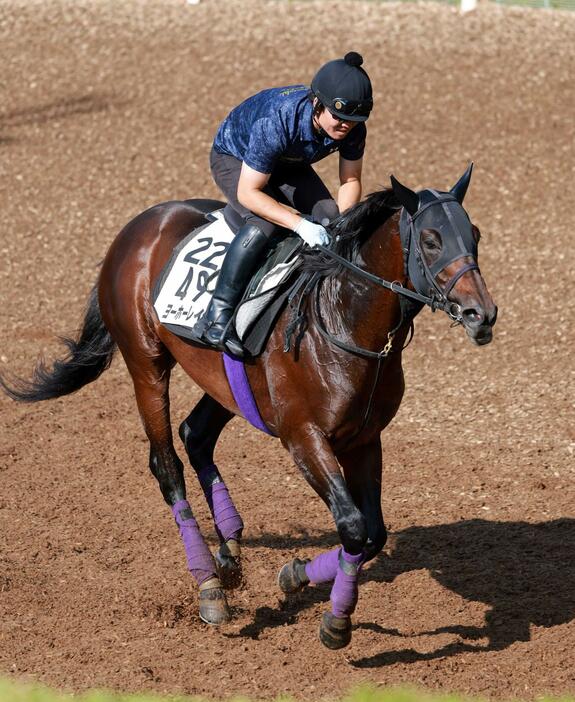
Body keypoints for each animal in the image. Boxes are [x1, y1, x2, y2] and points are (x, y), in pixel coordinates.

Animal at [0, 165, 498, 648]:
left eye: (474, 234)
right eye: (431, 240)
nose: (482, 314)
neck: (343, 321)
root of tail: (138, 225)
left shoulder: (364, 439)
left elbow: (372, 534)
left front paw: (296, 576)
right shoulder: (303, 437)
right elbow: (353, 526)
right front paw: (335, 621)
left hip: (225, 380)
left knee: (195, 435)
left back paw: (230, 552)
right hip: (146, 364)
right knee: (167, 464)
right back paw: (209, 586)